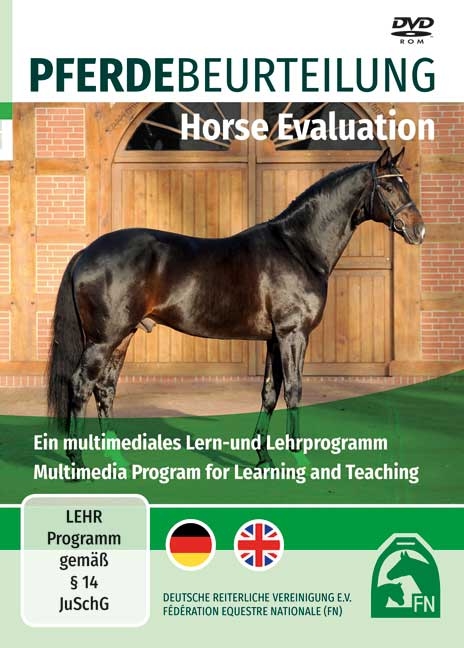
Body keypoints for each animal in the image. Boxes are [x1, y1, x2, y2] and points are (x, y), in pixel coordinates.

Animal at [47, 146, 425, 468]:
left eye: (404, 184)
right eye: (388, 186)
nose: (418, 230)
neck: (297, 247)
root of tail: (87, 252)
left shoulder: (274, 339)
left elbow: (270, 391)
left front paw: (264, 457)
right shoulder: (293, 334)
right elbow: (294, 389)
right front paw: (299, 458)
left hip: (122, 337)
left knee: (105, 388)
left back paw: (117, 459)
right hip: (103, 339)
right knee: (80, 384)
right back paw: (77, 461)